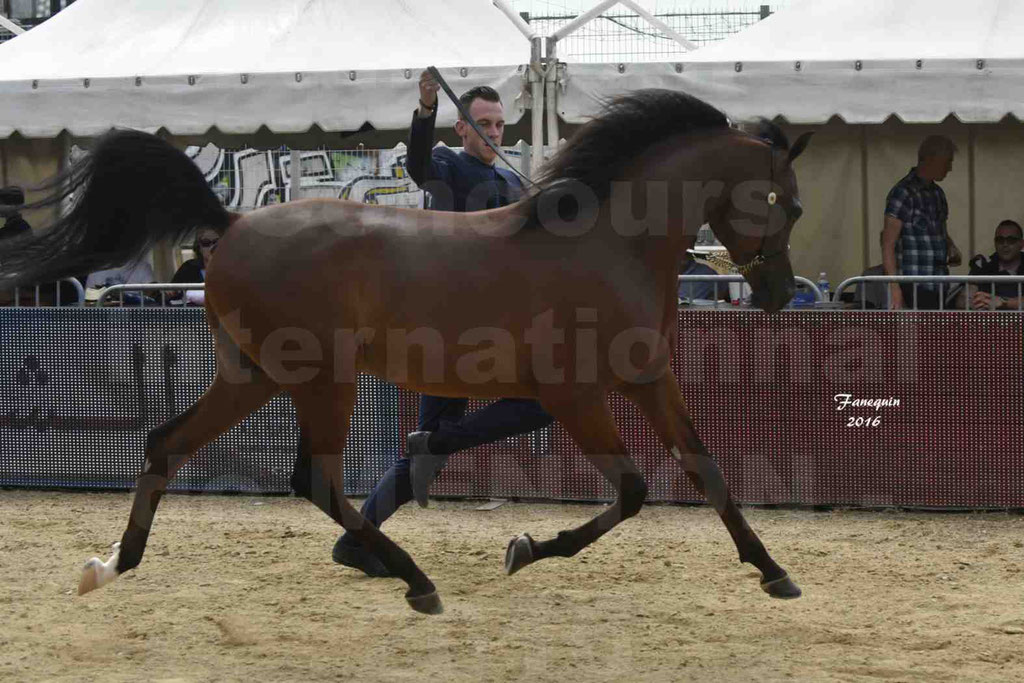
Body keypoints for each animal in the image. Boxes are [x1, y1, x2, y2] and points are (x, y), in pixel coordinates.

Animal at [2, 88, 815, 618]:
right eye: (790, 202)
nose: (778, 292)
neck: (610, 243)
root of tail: (229, 223)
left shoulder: (649, 378)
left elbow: (706, 468)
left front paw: (775, 572)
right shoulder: (576, 395)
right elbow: (635, 490)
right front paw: (525, 546)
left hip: (254, 375)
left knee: (166, 443)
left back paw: (112, 565)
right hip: (322, 379)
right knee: (315, 481)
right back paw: (417, 582)